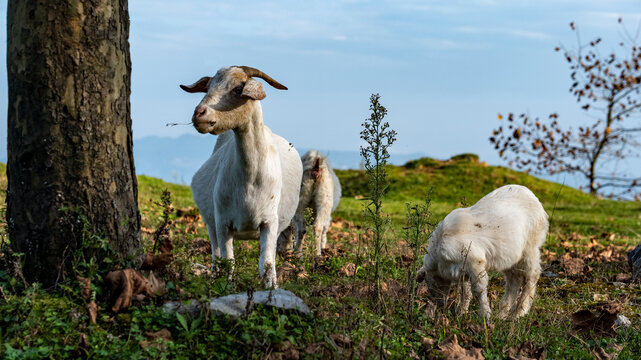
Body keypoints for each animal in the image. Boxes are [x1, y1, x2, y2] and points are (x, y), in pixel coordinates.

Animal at [179, 66, 302, 288]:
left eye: (238, 89)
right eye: (208, 88)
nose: (199, 114)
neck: (250, 180)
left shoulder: (269, 222)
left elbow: (266, 263)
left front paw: (271, 289)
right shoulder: (222, 222)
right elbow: (228, 261)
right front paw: (226, 288)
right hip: (210, 224)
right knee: (215, 256)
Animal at [418, 186, 548, 318]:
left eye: (431, 287)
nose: (440, 305)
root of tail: (530, 193)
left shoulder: (475, 262)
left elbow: (478, 290)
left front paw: (485, 315)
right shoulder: (464, 269)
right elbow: (465, 291)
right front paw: (461, 313)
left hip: (530, 249)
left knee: (532, 276)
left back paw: (519, 312)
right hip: (510, 257)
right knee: (514, 281)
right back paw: (502, 314)